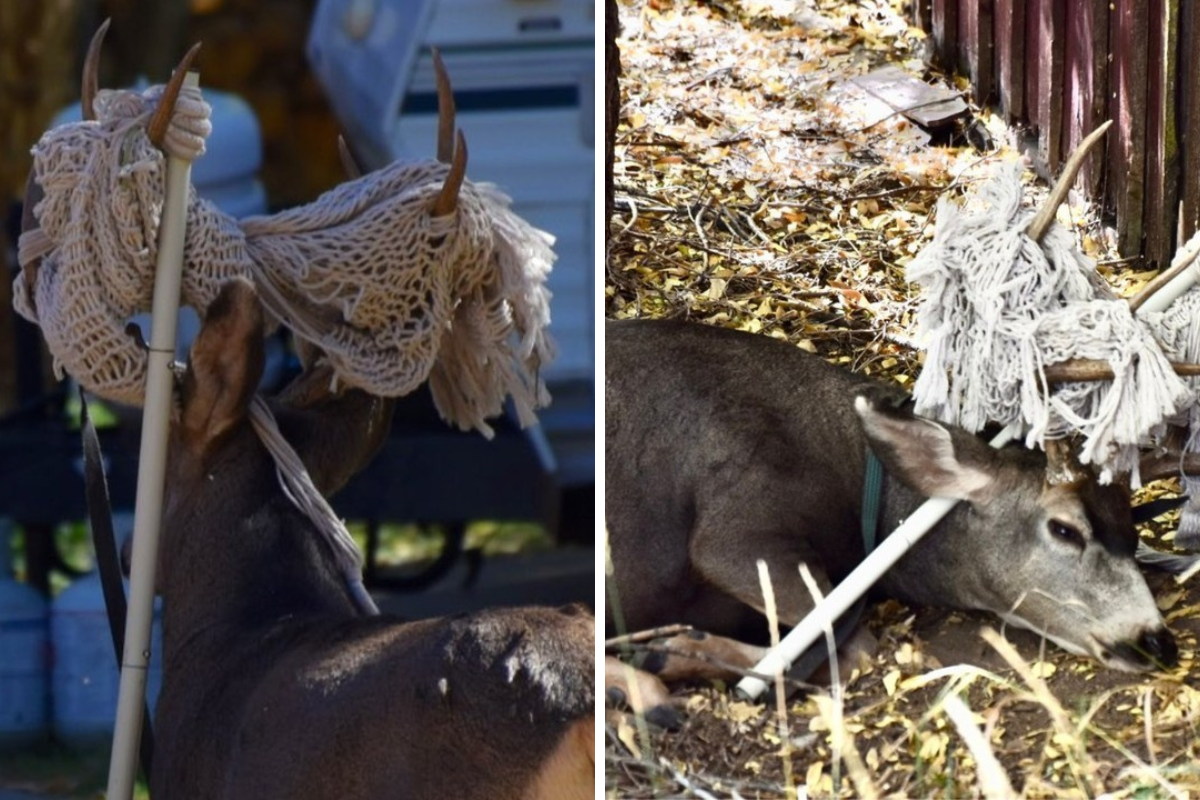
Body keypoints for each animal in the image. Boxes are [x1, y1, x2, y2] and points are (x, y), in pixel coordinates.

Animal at [604, 316, 1176, 719]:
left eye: (1134, 533)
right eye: (1064, 528)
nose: (1157, 641)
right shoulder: (740, 526)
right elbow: (854, 644)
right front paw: (673, 649)